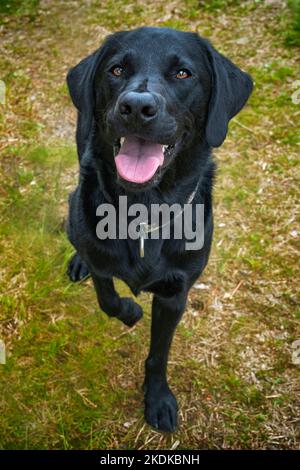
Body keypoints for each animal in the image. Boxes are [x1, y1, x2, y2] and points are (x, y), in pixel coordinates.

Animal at [66, 24, 253, 430]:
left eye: (183, 73)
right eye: (117, 70)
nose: (136, 107)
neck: (143, 210)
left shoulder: (174, 294)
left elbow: (158, 353)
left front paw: (158, 399)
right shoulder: (102, 263)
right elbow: (107, 299)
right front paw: (130, 311)